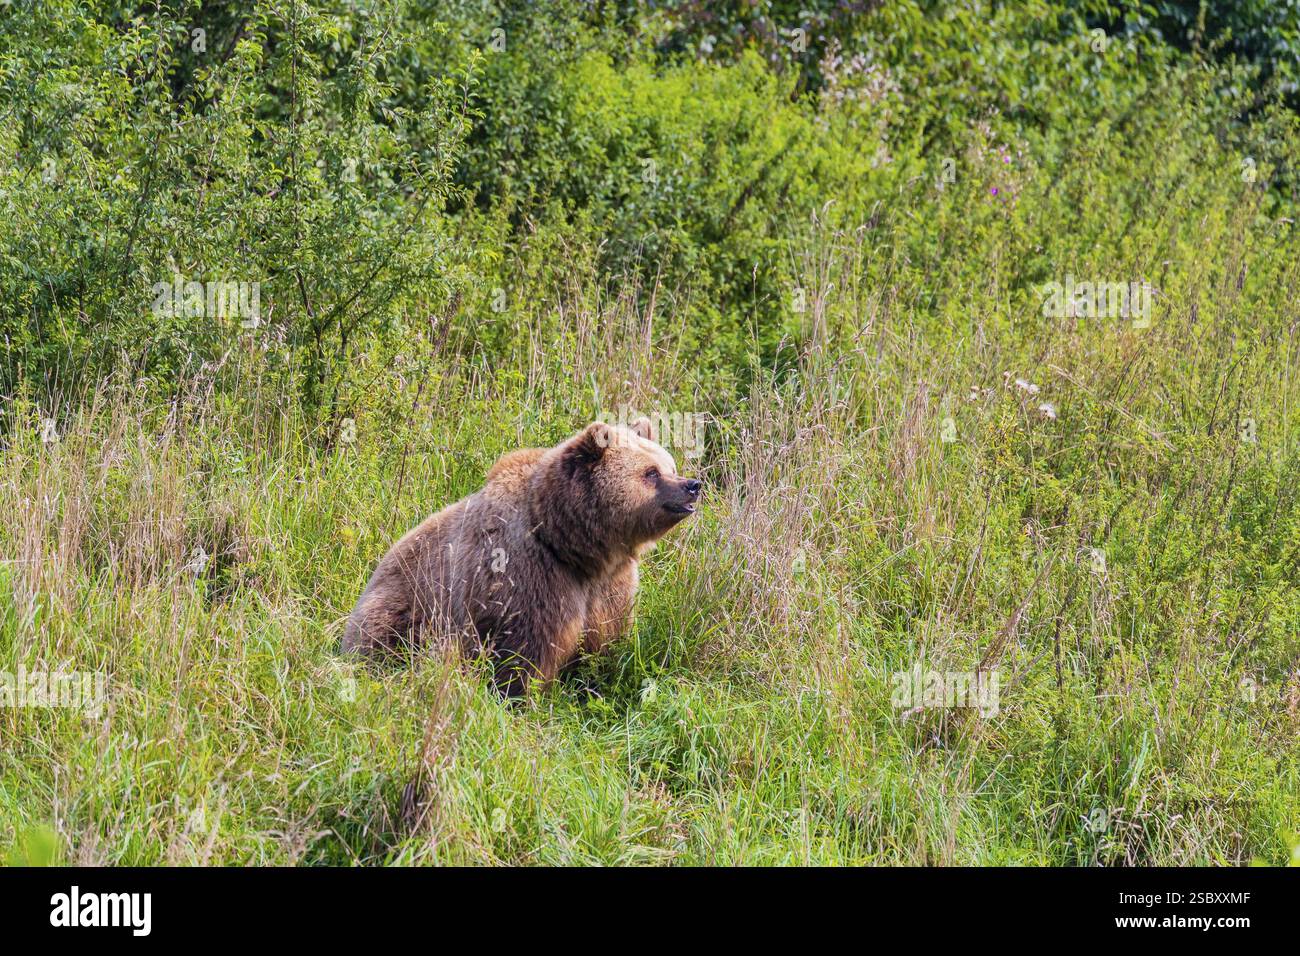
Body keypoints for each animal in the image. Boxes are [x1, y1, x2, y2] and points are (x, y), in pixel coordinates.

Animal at [341, 417, 702, 694]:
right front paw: (520, 696)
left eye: (670, 465)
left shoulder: (610, 585)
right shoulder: (527, 572)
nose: (692, 485)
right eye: (651, 473)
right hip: (406, 608)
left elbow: (605, 637)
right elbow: (527, 649)